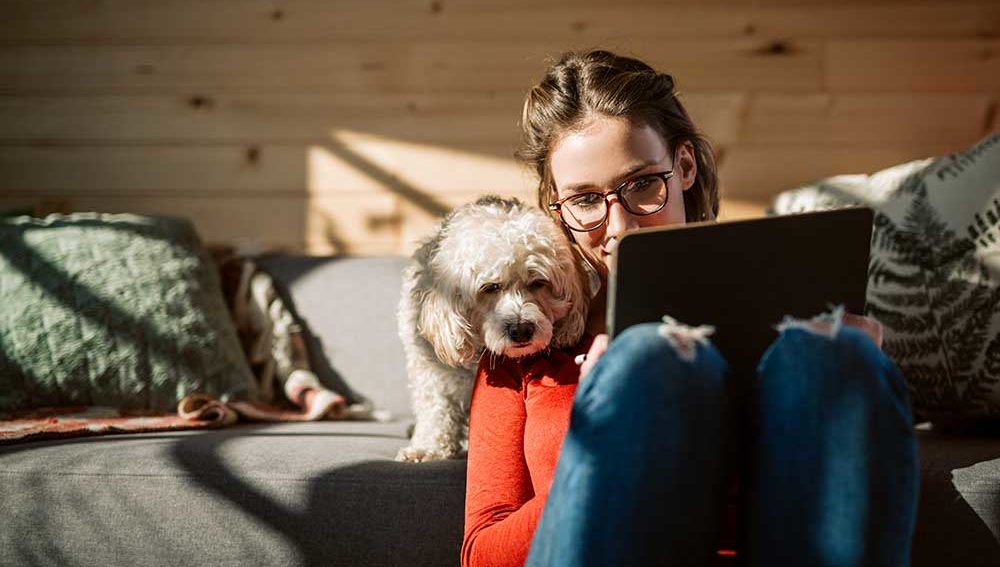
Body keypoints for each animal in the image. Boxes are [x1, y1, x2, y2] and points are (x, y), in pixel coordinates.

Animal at [396, 195, 588, 462]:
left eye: (538, 282)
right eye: (491, 287)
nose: (521, 330)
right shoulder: (430, 370)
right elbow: (436, 407)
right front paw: (428, 448)